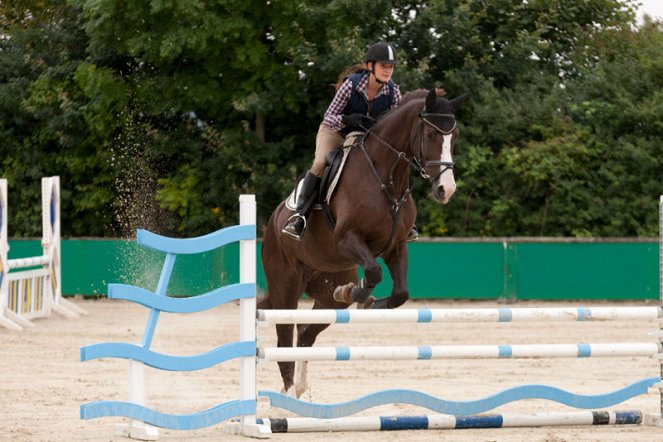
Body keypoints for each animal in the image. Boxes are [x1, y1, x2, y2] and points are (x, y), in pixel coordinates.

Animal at [258, 88, 466, 396]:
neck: (386, 177)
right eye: (430, 134)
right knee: (284, 337)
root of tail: (272, 223)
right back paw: (287, 394)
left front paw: (364, 300)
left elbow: (400, 293)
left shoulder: (396, 246)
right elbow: (374, 272)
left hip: (326, 284)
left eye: (455, 136)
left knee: (306, 331)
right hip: (286, 283)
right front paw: (356, 294)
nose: (446, 190)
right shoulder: (347, 239)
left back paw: (301, 390)